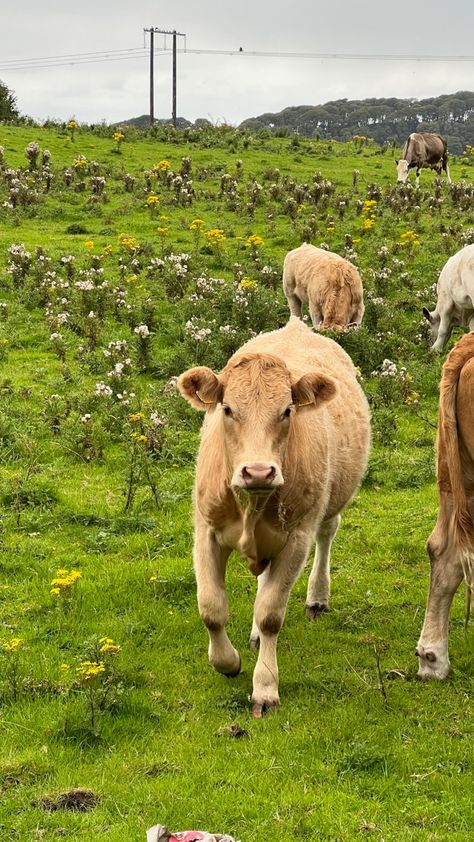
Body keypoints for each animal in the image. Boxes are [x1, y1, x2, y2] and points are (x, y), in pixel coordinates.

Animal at [178, 316, 370, 716]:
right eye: (227, 409)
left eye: (286, 411)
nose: (258, 472)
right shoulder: (205, 532)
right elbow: (211, 607)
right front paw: (228, 662)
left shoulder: (296, 538)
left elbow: (270, 614)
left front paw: (265, 687)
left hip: (328, 507)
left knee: (327, 536)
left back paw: (317, 596)